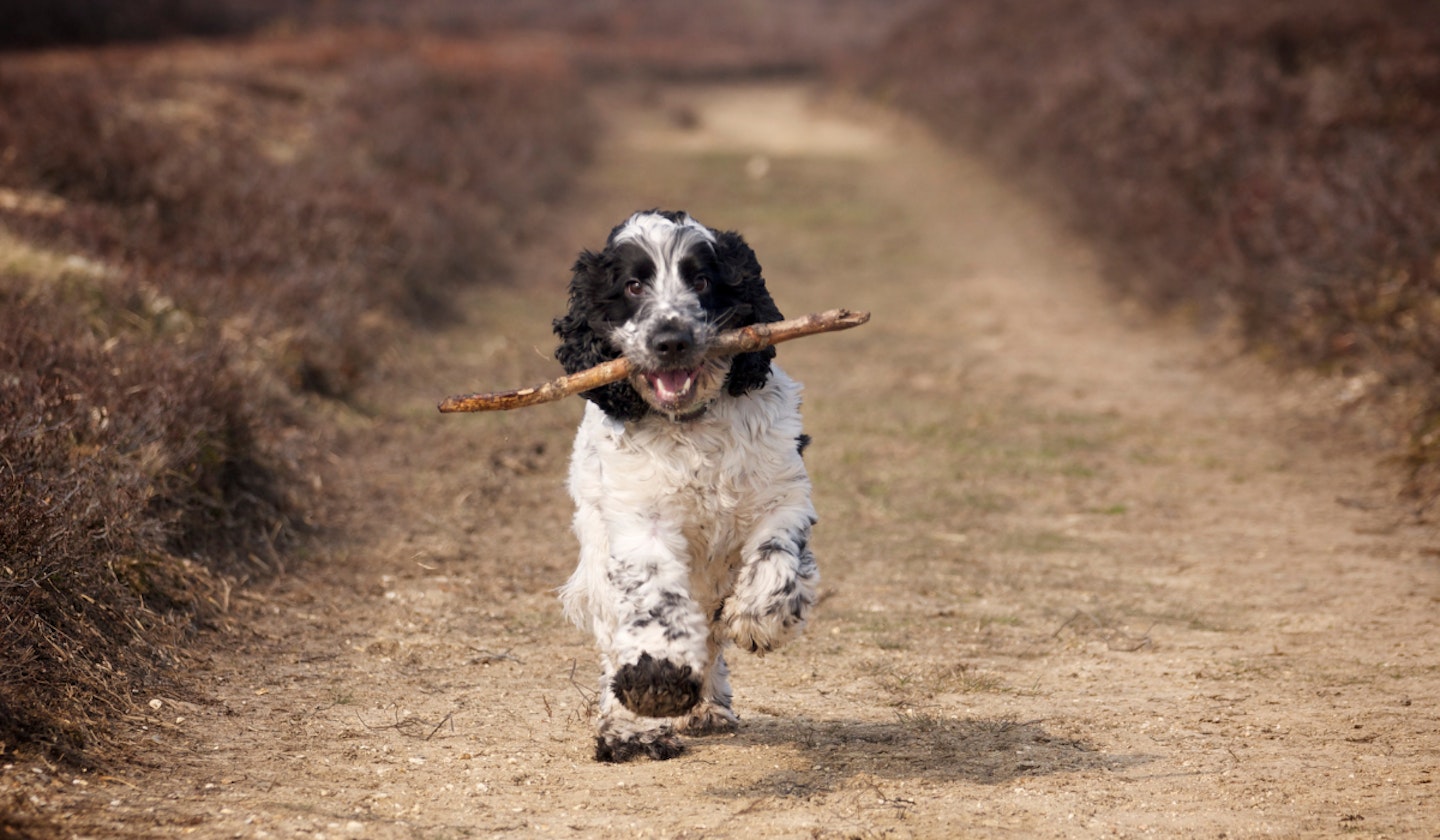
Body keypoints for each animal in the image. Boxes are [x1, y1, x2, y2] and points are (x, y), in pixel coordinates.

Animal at [552, 208, 823, 760]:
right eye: (633, 285)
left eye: (700, 280)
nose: (671, 340)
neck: (692, 428)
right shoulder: (641, 523)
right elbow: (655, 602)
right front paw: (656, 684)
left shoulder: (783, 495)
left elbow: (777, 561)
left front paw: (756, 618)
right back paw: (631, 730)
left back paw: (710, 707)